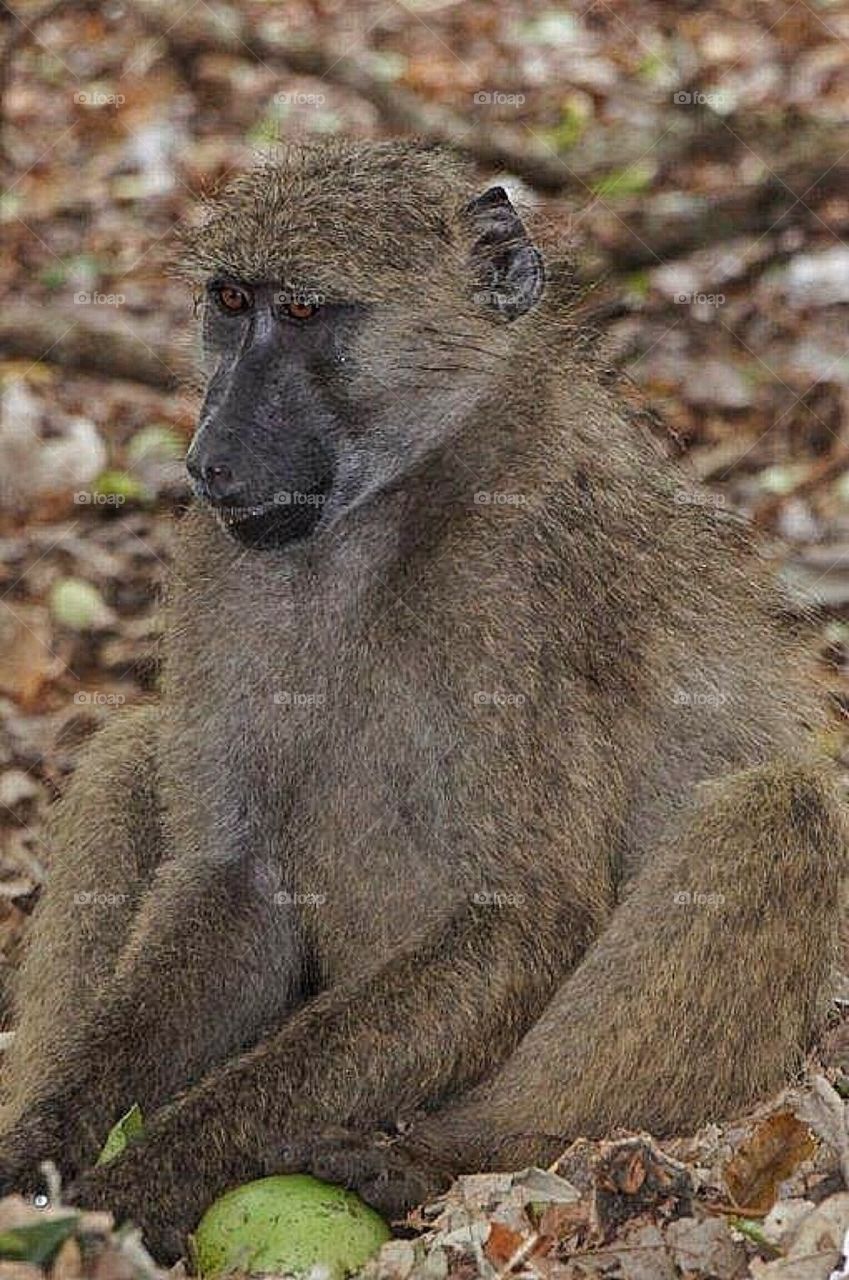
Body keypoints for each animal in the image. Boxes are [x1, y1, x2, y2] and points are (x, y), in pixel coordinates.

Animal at [0, 138, 845, 1263]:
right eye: (229, 301)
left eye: (304, 312)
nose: (209, 458)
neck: (394, 506)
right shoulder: (220, 566)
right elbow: (231, 884)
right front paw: (42, 1156)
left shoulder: (516, 579)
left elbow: (519, 917)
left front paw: (139, 1185)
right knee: (126, 755)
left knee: (781, 809)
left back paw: (440, 1158)